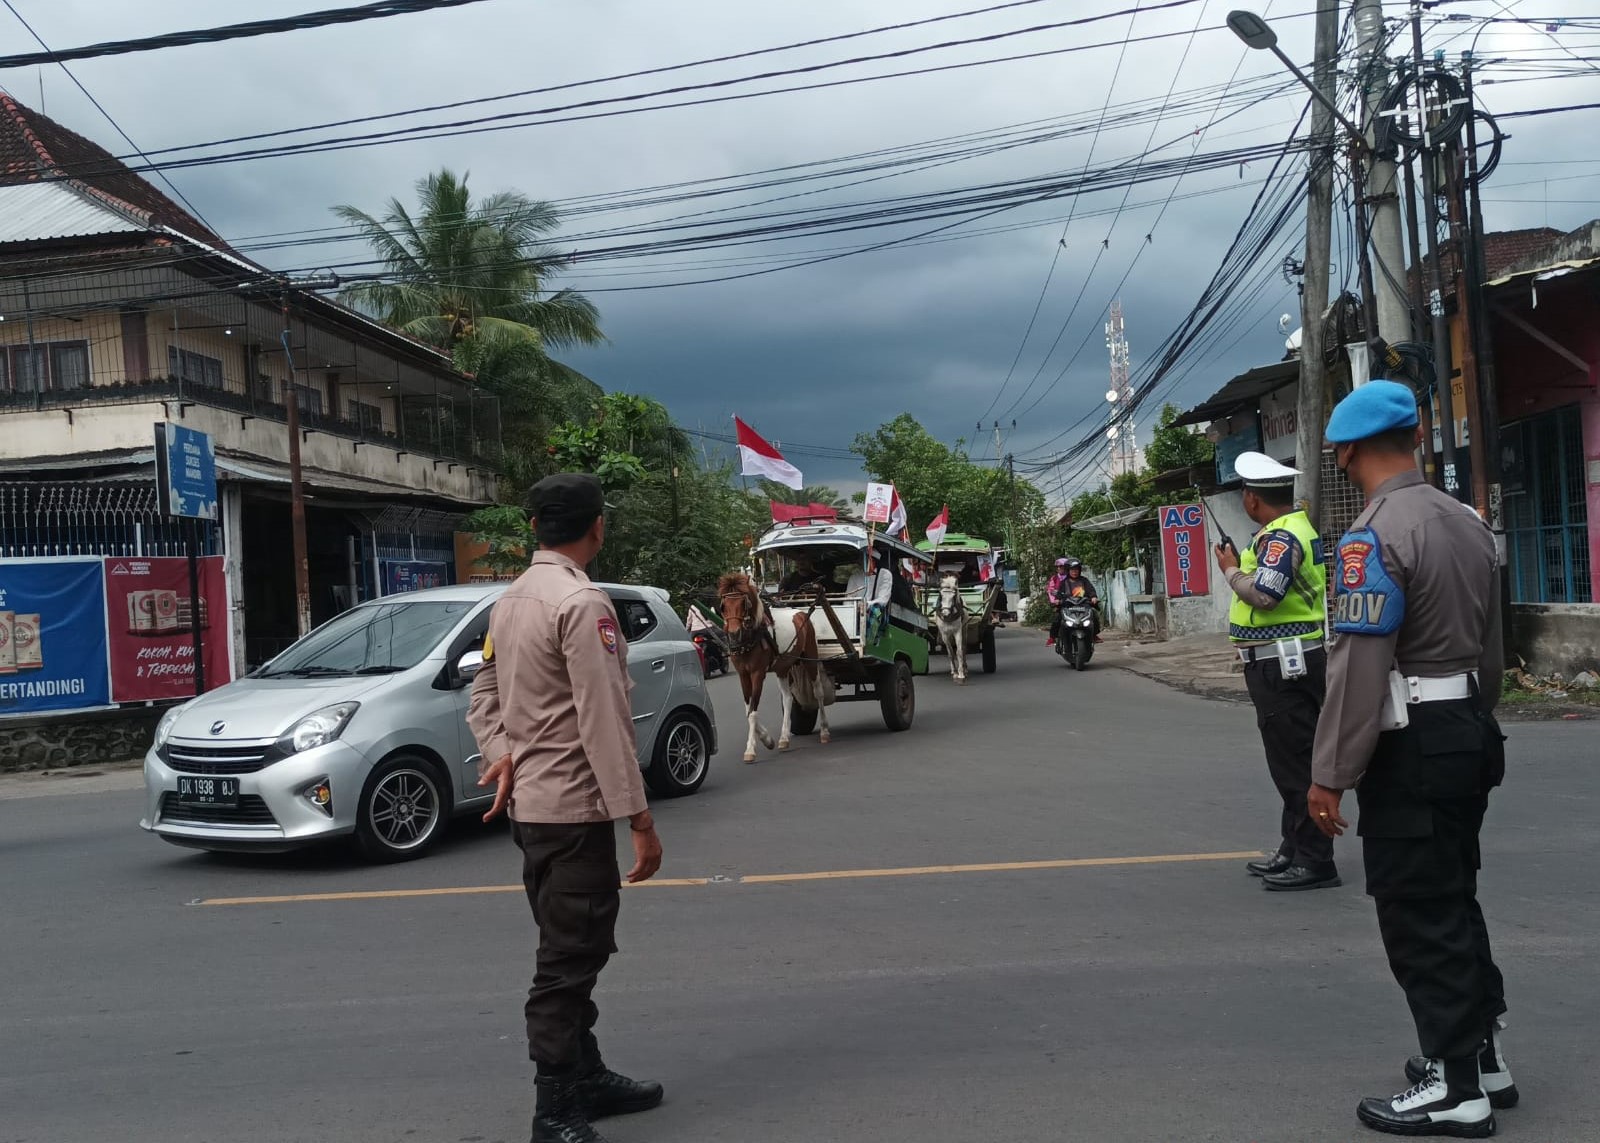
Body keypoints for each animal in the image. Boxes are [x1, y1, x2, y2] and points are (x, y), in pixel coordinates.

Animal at [720, 566, 832, 755]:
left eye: (744, 603)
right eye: (723, 606)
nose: (734, 634)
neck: (752, 635)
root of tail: (801, 612)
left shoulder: (758, 673)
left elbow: (753, 711)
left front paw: (750, 749)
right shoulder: (743, 674)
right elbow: (748, 710)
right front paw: (767, 739)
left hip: (810, 658)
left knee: (818, 692)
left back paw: (824, 731)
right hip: (782, 667)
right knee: (788, 698)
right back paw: (784, 738)